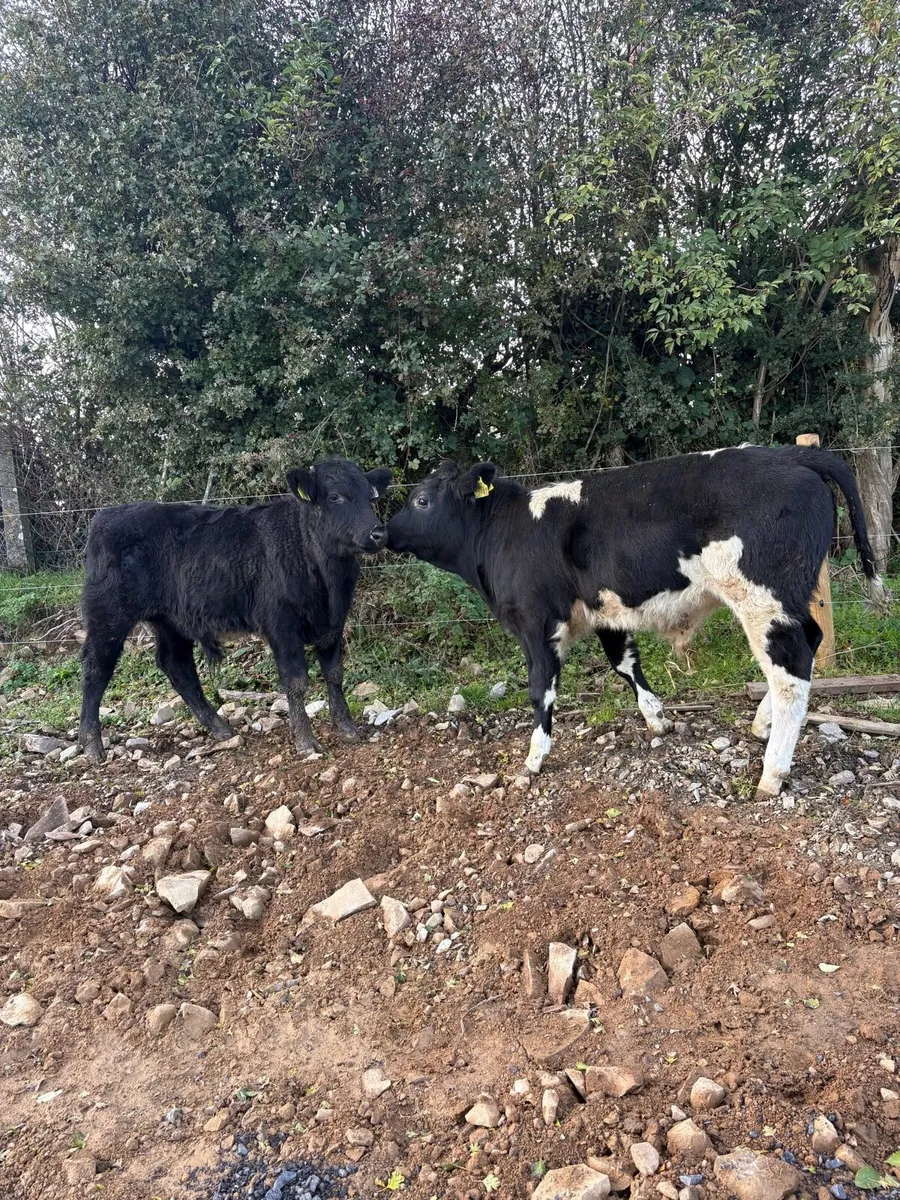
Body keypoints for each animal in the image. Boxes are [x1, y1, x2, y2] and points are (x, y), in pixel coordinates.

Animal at [78, 458, 392, 763]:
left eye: (371, 496)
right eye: (335, 496)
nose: (378, 532)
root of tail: (105, 516)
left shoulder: (333, 622)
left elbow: (335, 673)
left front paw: (347, 727)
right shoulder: (281, 624)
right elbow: (296, 682)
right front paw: (305, 741)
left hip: (171, 620)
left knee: (177, 666)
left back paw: (220, 728)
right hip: (108, 613)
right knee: (96, 667)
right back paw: (92, 745)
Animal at [387, 445, 881, 797]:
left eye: (422, 500)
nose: (381, 532)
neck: (506, 530)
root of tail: (787, 454)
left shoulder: (536, 623)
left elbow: (541, 689)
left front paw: (534, 758)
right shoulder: (608, 613)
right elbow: (625, 664)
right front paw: (656, 719)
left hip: (762, 598)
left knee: (789, 670)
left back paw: (772, 772)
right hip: (786, 598)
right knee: (810, 642)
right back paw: (764, 724)